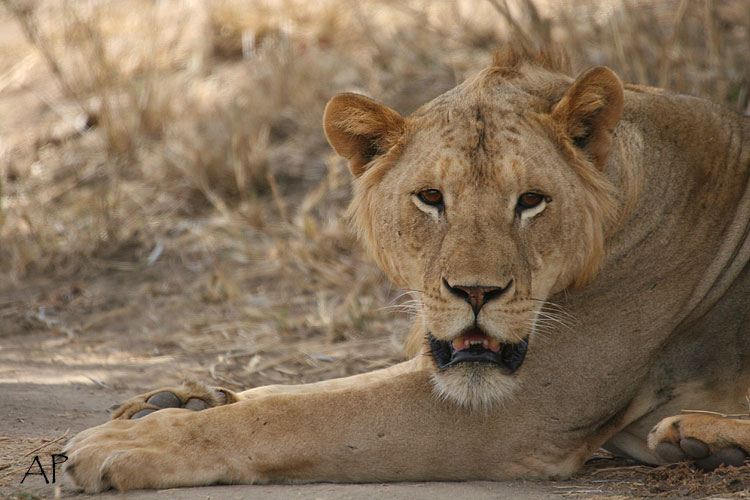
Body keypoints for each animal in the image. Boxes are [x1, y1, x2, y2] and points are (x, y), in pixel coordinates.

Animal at [63, 47, 750, 492]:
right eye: (430, 199)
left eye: (531, 200)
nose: (476, 291)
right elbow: (296, 392)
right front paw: (171, 401)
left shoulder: (526, 411)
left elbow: (292, 417)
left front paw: (129, 444)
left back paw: (703, 436)